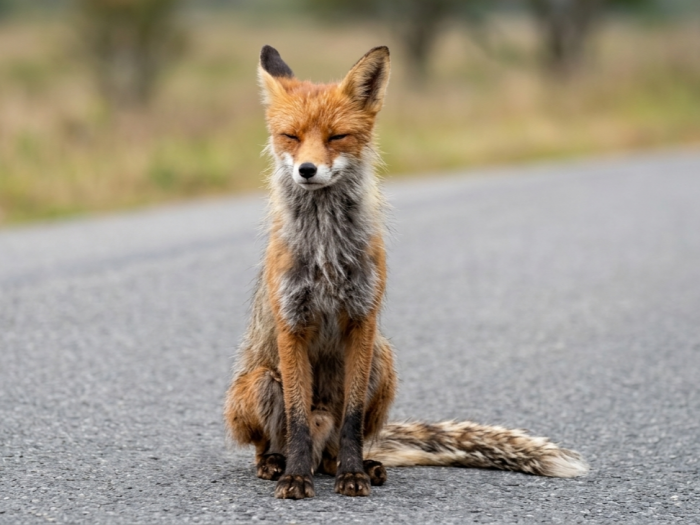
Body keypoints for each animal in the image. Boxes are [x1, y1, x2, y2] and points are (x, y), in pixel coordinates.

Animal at [223, 45, 589, 500]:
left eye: (336, 137)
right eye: (290, 136)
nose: (306, 170)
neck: (326, 248)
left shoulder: (362, 318)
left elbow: (352, 421)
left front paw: (353, 475)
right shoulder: (293, 321)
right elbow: (297, 419)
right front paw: (295, 478)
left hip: (384, 363)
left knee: (339, 444)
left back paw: (356, 465)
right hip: (259, 381)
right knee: (277, 440)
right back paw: (277, 463)